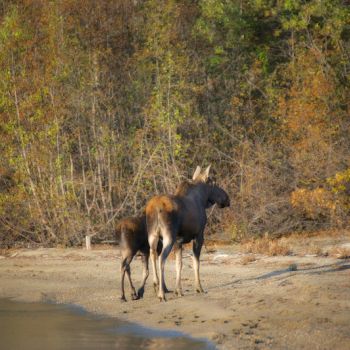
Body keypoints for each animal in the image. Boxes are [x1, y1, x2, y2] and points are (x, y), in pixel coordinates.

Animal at [145, 166, 230, 300]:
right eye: (215, 183)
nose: (227, 198)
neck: (202, 199)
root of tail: (155, 209)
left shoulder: (178, 241)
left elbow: (179, 264)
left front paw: (178, 290)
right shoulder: (198, 236)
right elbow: (196, 263)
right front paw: (199, 288)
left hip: (153, 236)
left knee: (152, 254)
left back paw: (157, 285)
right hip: (168, 237)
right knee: (161, 258)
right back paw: (161, 293)